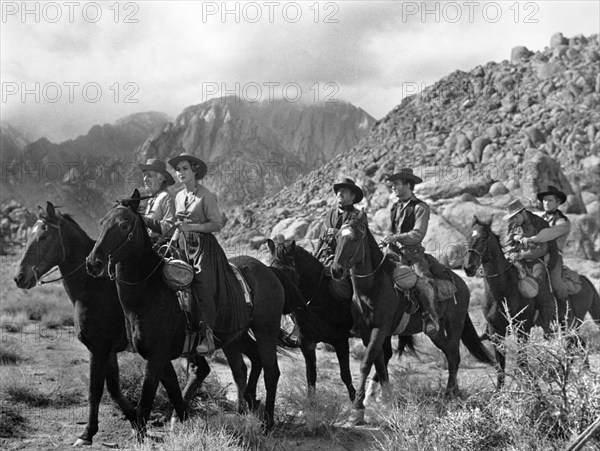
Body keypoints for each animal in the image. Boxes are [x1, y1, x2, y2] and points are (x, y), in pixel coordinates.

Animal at [13, 203, 136, 446]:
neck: (95, 288)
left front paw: (87, 434)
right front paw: (136, 420)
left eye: (43, 236)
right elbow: (114, 387)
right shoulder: (108, 351)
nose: (19, 278)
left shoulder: (98, 348)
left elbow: (95, 390)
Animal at [85, 193, 288, 434]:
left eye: (124, 225)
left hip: (266, 330)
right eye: (101, 223)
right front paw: (180, 421)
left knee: (271, 371)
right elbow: (174, 391)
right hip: (235, 337)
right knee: (246, 365)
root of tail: (269, 270)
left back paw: (267, 424)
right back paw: (248, 406)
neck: (150, 290)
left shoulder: (156, 356)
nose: (93, 263)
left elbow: (145, 401)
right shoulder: (160, 357)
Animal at [464, 217, 600, 386]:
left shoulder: (523, 330)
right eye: (468, 237)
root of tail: (584, 280)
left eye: (483, 238)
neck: (503, 291)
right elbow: (501, 368)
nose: (468, 267)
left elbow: (522, 363)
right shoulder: (496, 332)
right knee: (579, 346)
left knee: (576, 346)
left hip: (572, 325)